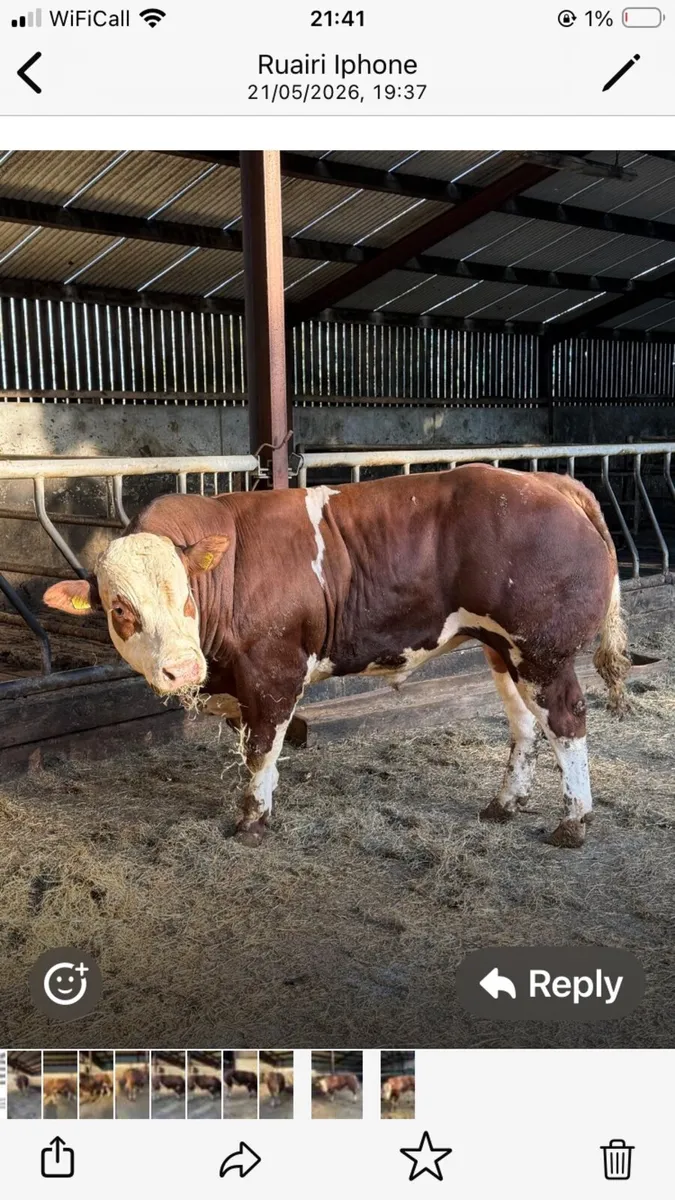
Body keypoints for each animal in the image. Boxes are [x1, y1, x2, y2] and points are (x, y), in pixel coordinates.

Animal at [44, 465, 630, 850]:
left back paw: (574, 822)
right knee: (525, 725)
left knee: (567, 721)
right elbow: (264, 750)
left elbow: (260, 749)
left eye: (188, 595)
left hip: (543, 652)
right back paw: (504, 803)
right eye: (121, 608)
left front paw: (252, 821)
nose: (183, 669)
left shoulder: (273, 671)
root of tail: (549, 482)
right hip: (501, 648)